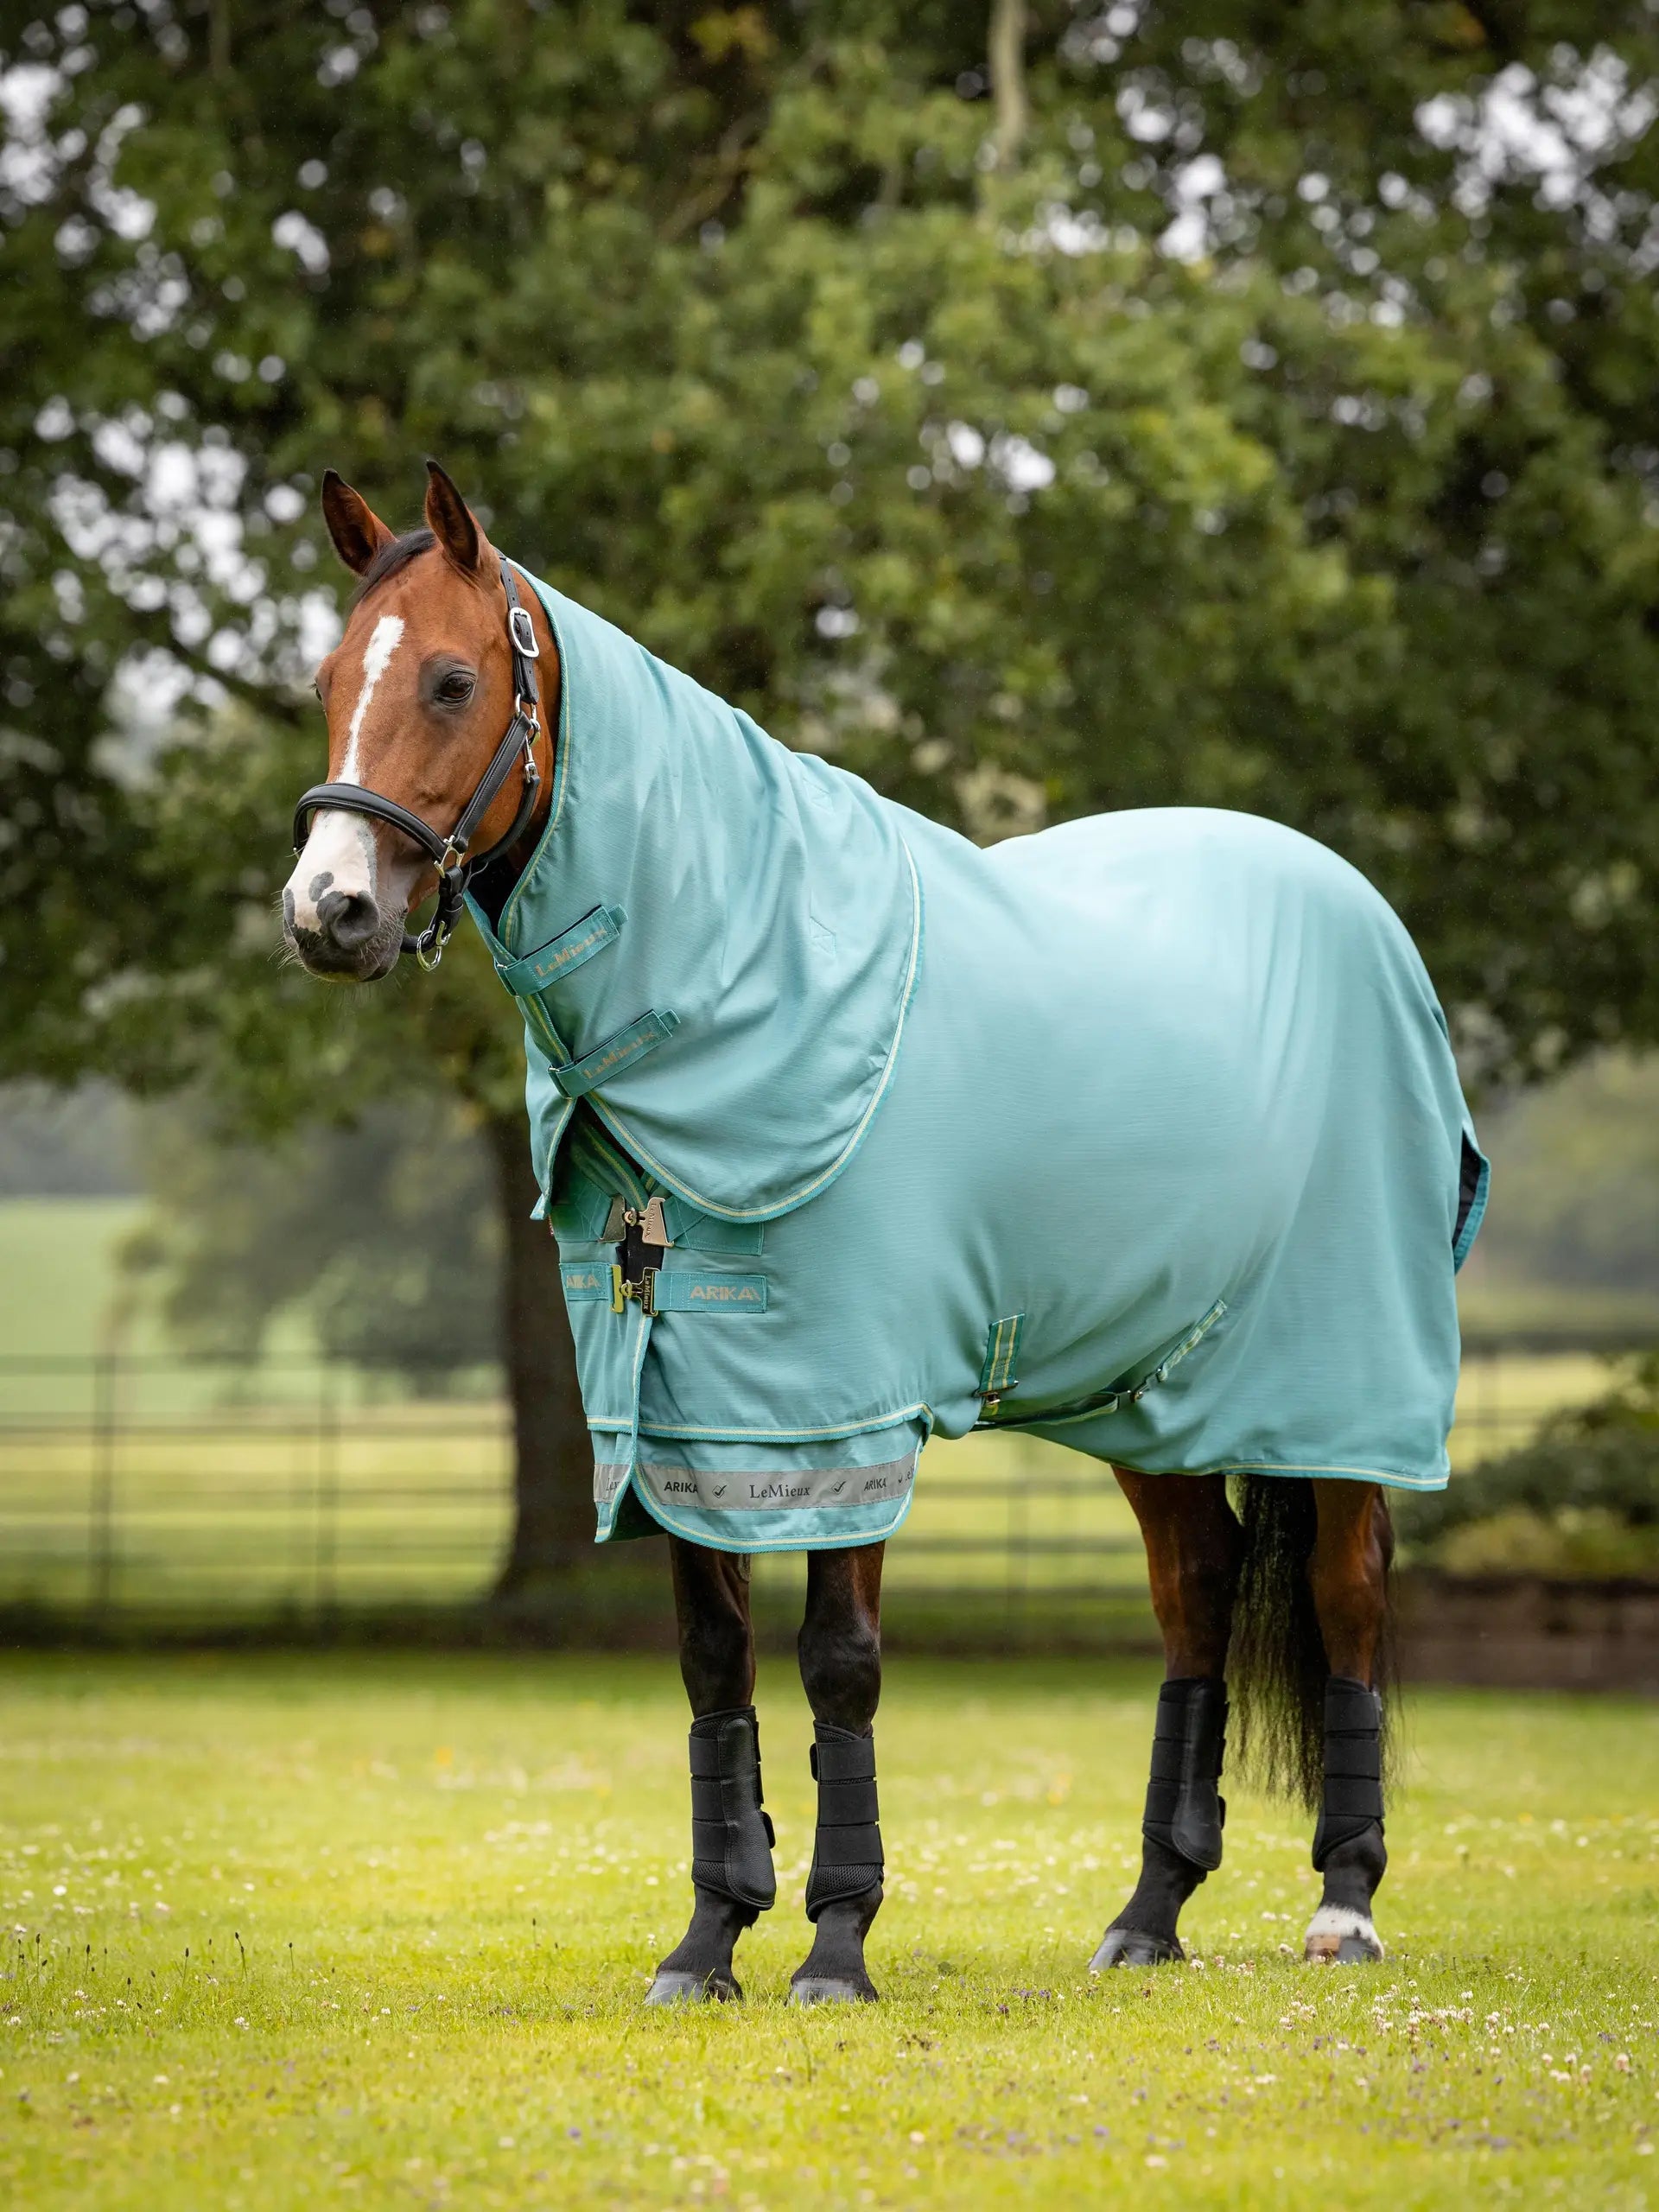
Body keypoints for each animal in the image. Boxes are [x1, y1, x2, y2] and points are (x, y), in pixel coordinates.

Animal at [282, 461, 1488, 2004]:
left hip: (1337, 1382)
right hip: (1153, 1389)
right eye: (327, 682)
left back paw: (1344, 1905)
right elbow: (714, 1663)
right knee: (1199, 1590)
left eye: (447, 678)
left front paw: (836, 1947)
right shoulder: (687, 1408)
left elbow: (838, 1663)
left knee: (1347, 1593)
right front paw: (709, 1940)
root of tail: (1365, 917)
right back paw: (1149, 1913)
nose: (330, 911)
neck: (748, 962)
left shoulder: (839, 1407)